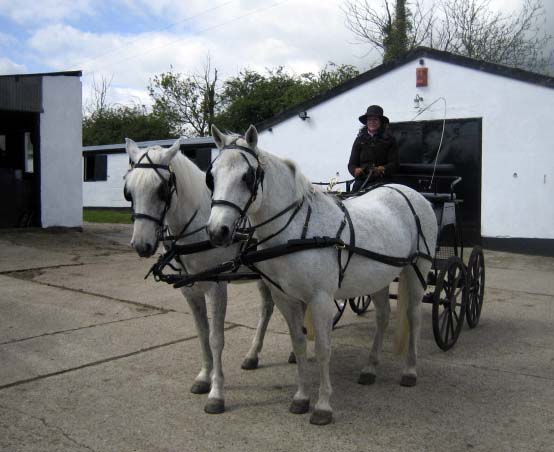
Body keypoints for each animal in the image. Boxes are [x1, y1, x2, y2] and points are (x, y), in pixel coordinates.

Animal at [123, 138, 276, 414]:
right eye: (128, 191)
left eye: (162, 189)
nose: (141, 245)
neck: (200, 228)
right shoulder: (189, 290)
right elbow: (202, 334)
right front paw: (204, 378)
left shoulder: (216, 287)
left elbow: (216, 338)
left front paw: (216, 393)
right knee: (267, 308)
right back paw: (253, 355)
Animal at [206, 125, 438, 425]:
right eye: (211, 176)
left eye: (247, 176)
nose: (217, 231)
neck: (296, 230)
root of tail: (409, 192)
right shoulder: (285, 299)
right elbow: (300, 344)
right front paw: (301, 397)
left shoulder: (321, 300)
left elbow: (323, 349)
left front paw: (323, 406)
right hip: (379, 277)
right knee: (383, 316)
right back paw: (370, 368)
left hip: (416, 269)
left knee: (413, 316)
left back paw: (410, 370)